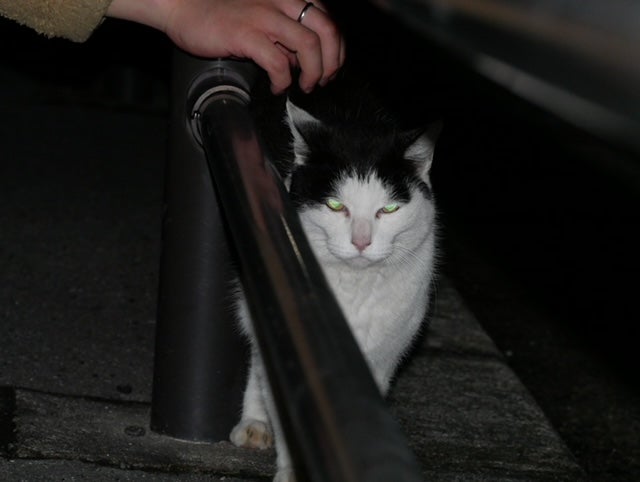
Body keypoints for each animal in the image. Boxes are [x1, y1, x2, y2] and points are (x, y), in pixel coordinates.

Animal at [229, 81, 440, 482]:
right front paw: (290, 470)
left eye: (389, 209)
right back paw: (254, 420)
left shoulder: (382, 359)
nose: (361, 241)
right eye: (335, 206)